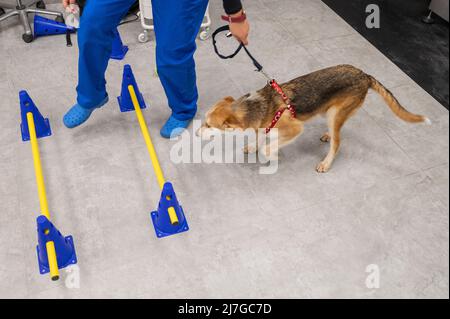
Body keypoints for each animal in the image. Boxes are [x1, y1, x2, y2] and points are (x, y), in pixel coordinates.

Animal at [199, 64, 430, 172]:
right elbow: (260, 137)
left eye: (209, 125)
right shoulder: (262, 125)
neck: (257, 105)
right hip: (332, 112)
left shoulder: (294, 129)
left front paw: (270, 153)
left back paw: (326, 163)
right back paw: (328, 135)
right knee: (337, 132)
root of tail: (364, 75)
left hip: (334, 113)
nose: (196, 132)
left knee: (338, 143)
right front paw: (254, 146)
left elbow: (269, 146)